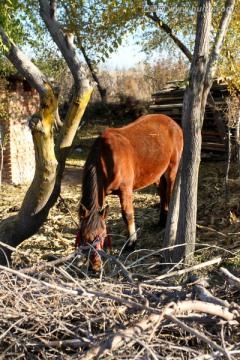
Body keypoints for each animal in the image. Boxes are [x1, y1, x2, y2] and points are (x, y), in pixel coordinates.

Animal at [78, 114, 183, 258]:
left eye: (101, 235)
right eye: (83, 236)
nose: (92, 257)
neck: (106, 159)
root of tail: (173, 123)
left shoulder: (125, 190)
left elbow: (127, 215)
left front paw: (131, 243)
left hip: (172, 169)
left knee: (170, 193)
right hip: (156, 174)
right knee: (162, 193)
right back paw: (162, 221)